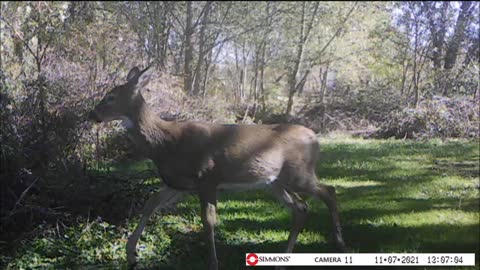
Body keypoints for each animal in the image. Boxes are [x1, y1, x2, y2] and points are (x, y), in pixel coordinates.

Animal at [89, 66, 344, 270]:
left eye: (110, 96)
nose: (92, 113)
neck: (165, 143)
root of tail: (315, 138)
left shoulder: (207, 178)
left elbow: (208, 221)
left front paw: (213, 263)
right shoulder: (179, 184)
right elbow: (150, 204)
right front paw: (131, 254)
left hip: (299, 173)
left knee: (329, 191)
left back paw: (340, 244)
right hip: (276, 182)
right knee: (301, 208)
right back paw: (284, 260)